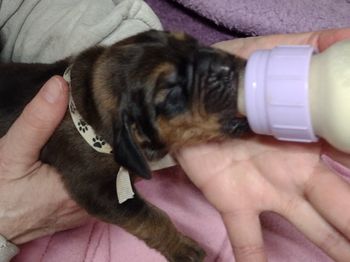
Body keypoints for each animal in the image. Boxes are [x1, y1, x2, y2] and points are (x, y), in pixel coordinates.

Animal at [0, 30, 249, 260]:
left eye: (192, 43)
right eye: (172, 93)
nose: (226, 68)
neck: (90, 109)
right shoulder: (98, 191)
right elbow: (151, 217)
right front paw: (182, 247)